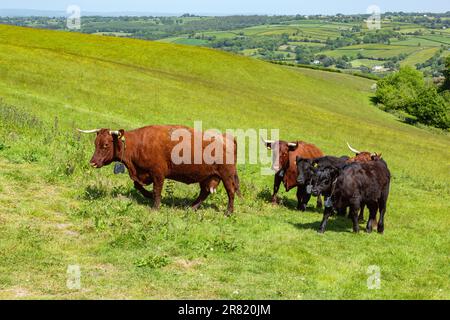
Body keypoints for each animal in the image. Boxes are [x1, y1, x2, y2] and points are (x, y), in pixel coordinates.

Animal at [76, 125, 243, 215]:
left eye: (105, 145)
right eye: (95, 143)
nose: (92, 162)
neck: (139, 144)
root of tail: (226, 137)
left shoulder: (158, 173)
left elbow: (157, 190)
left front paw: (155, 207)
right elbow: (137, 185)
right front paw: (148, 195)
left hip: (227, 175)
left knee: (231, 192)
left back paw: (228, 212)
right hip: (206, 177)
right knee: (205, 192)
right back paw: (191, 207)